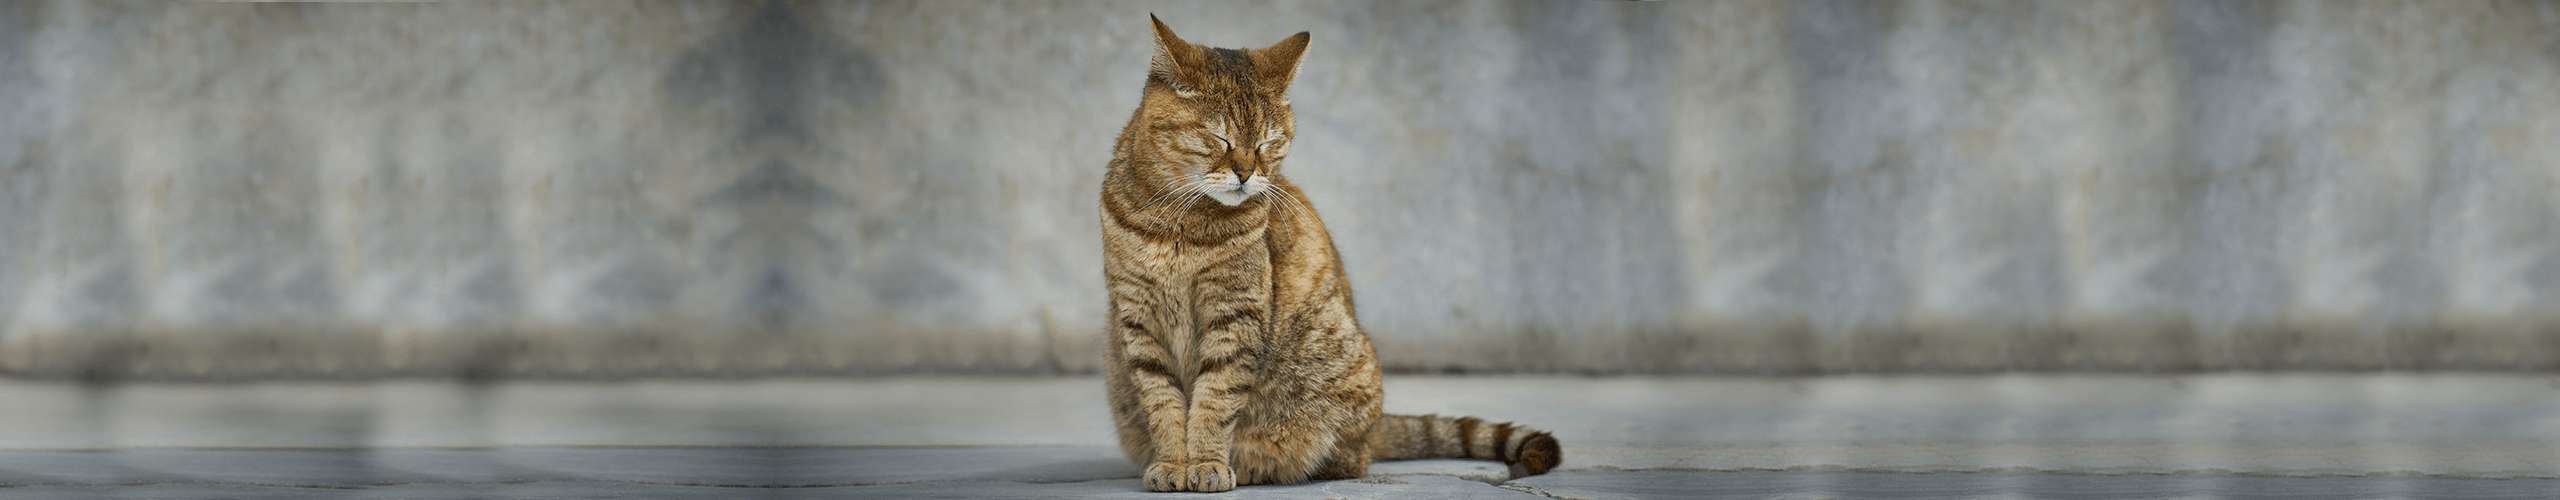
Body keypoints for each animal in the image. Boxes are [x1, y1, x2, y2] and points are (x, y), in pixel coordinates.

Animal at [1095, 14, 1556, 492]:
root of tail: (1377, 426)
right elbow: (1162, 401)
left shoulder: (1236, 315)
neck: (1178, 224)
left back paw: (1264, 465)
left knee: (1351, 457)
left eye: (1267, 143)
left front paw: (1205, 462)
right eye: (1219, 139)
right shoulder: (1138, 319)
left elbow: (1215, 399)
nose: (1246, 173)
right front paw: (1172, 463)